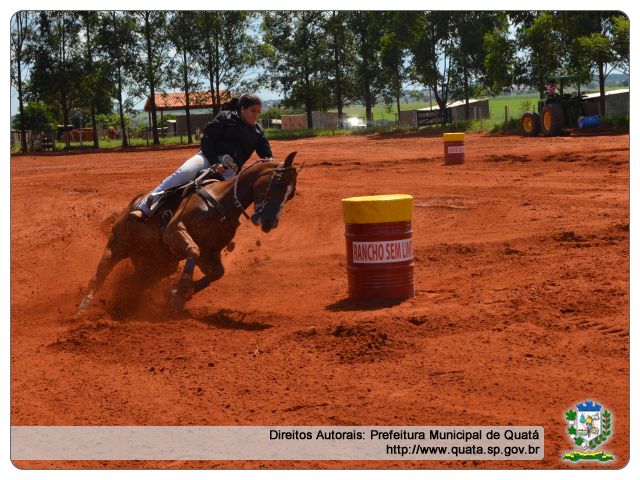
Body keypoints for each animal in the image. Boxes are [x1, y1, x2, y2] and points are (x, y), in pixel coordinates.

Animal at [76, 151, 302, 316]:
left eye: (290, 194)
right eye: (277, 183)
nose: (270, 222)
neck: (221, 203)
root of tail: (131, 205)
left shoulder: (210, 253)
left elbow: (216, 273)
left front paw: (177, 293)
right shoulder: (174, 231)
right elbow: (193, 250)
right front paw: (179, 291)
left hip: (158, 266)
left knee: (135, 282)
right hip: (117, 246)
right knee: (100, 275)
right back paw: (85, 305)